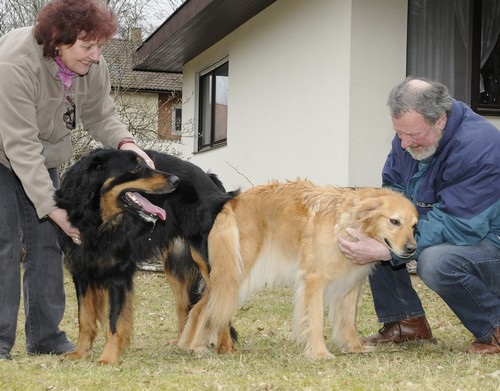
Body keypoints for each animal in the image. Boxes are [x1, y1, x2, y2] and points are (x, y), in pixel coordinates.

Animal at [55, 149, 235, 366]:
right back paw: (181, 342)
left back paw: (226, 346)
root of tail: (210, 179)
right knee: (184, 304)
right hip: (174, 264)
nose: (175, 180)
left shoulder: (118, 274)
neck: (98, 220)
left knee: (221, 296)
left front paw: (108, 358)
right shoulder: (81, 272)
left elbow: (114, 321)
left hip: (205, 258)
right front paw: (80, 352)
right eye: (136, 167)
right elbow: (85, 318)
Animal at [177, 180, 418, 358]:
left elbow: (349, 321)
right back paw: (194, 346)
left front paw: (354, 347)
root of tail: (233, 201)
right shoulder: (314, 280)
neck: (348, 223)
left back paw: (192, 345)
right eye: (394, 221)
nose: (412, 249)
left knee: (202, 308)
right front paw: (319, 353)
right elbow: (316, 320)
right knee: (202, 308)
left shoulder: (351, 285)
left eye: (414, 226)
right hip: (233, 275)